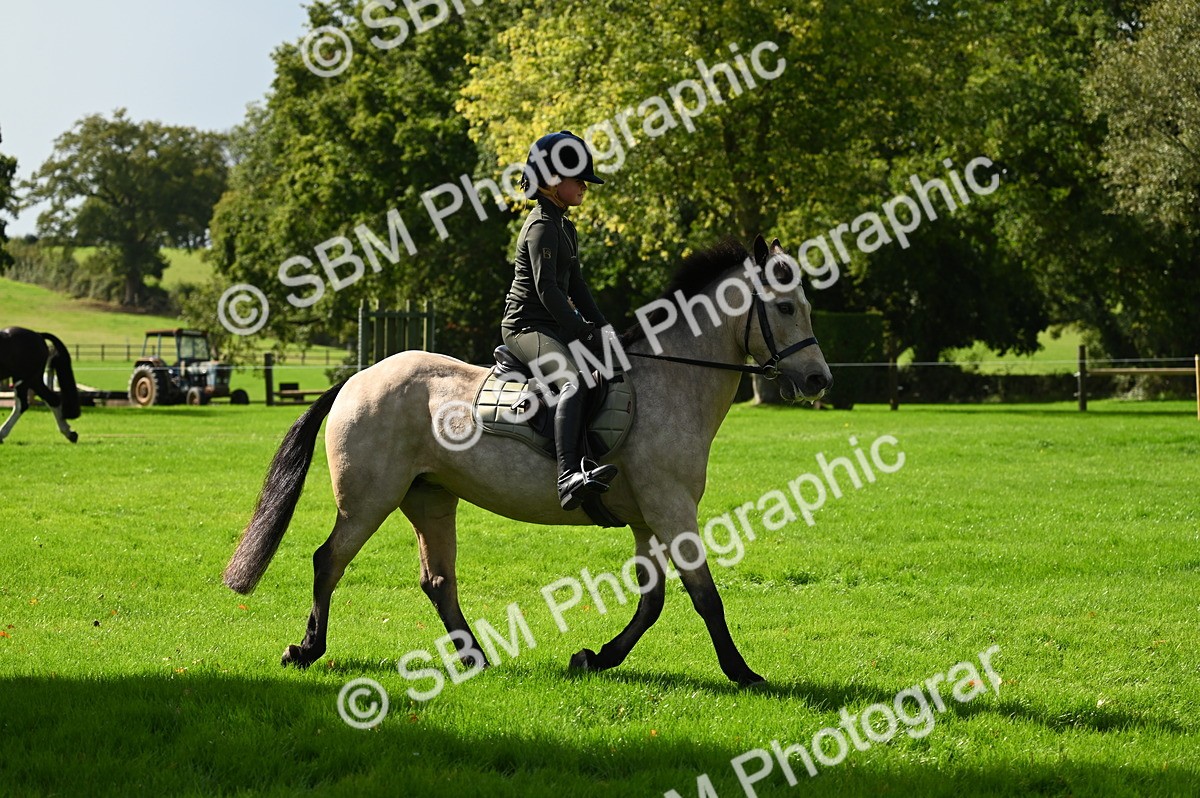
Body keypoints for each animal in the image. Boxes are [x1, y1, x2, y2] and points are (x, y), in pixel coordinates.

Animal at [223, 235, 832, 687]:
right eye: (784, 306)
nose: (818, 380)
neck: (672, 379)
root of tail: (358, 377)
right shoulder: (671, 509)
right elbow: (705, 596)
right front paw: (744, 673)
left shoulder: (649, 519)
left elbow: (653, 600)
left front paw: (595, 658)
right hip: (369, 500)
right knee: (329, 561)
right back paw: (307, 649)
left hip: (429, 498)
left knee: (437, 580)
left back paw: (474, 658)